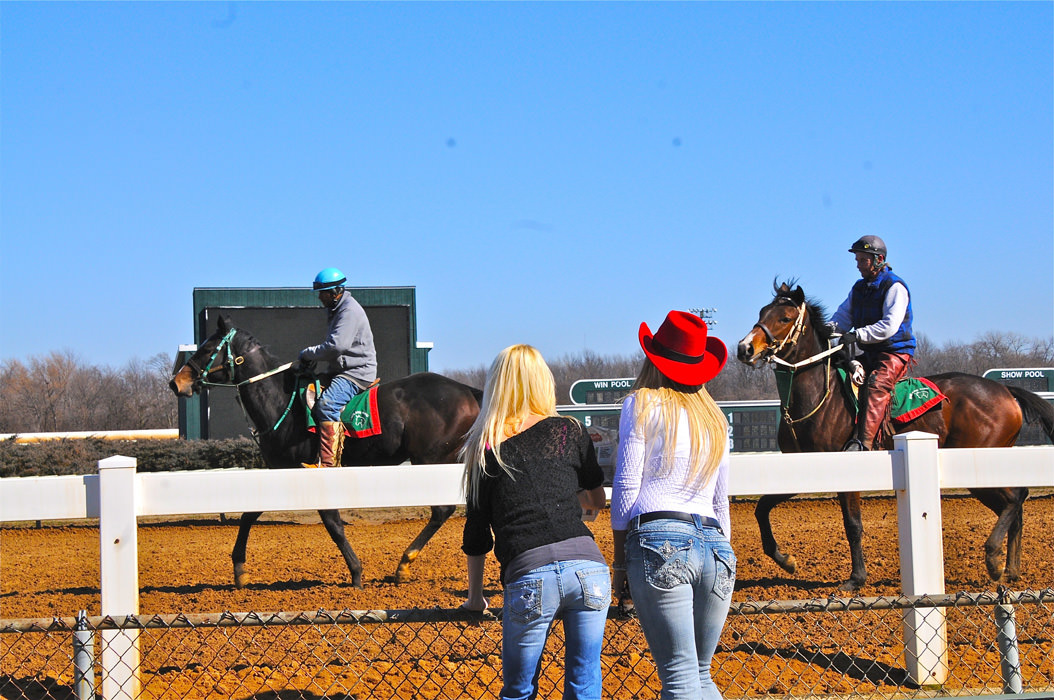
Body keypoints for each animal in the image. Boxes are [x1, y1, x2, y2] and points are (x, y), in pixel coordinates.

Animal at [169, 314, 482, 586]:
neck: (282, 405)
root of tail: (468, 390)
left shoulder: (317, 472)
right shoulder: (279, 470)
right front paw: (239, 569)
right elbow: (250, 514)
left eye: (207, 348)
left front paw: (356, 573)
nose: (176, 382)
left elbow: (333, 524)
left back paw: (404, 563)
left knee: (442, 509)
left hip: (431, 458)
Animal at [737, 278, 1049, 590]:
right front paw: (786, 560)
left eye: (785, 318)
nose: (745, 348)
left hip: (979, 461)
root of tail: (1006, 391)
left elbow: (853, 525)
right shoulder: (801, 467)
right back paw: (1011, 569)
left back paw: (994, 559)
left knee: (1016, 498)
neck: (820, 397)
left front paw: (856, 578)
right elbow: (762, 508)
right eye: (762, 311)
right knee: (1015, 503)